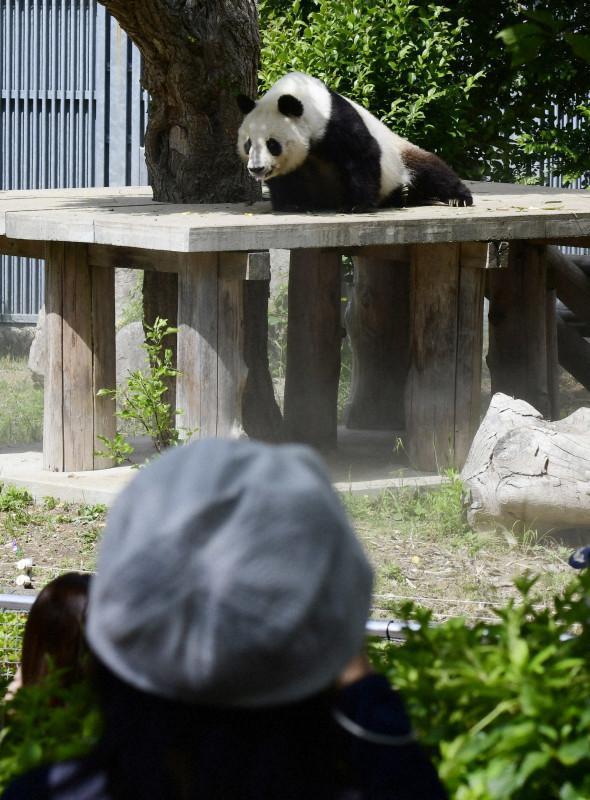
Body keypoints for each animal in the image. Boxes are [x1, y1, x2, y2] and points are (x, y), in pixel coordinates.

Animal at [238, 72, 474, 212]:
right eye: (248, 144)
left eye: (272, 144)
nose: (256, 169)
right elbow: (285, 179)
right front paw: (291, 203)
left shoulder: (334, 121)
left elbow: (361, 155)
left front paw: (356, 205)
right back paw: (403, 195)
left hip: (401, 153)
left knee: (432, 169)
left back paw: (458, 198)